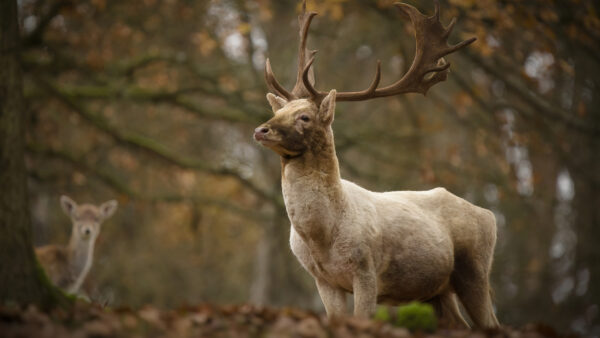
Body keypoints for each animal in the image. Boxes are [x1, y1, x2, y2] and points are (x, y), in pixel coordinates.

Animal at [252, 0, 496, 328]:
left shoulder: (365, 268)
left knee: (491, 322)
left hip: (476, 268)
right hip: (436, 290)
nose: (261, 129)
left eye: (304, 117)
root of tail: (490, 215)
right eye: (279, 111)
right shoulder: (323, 279)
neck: (322, 237)